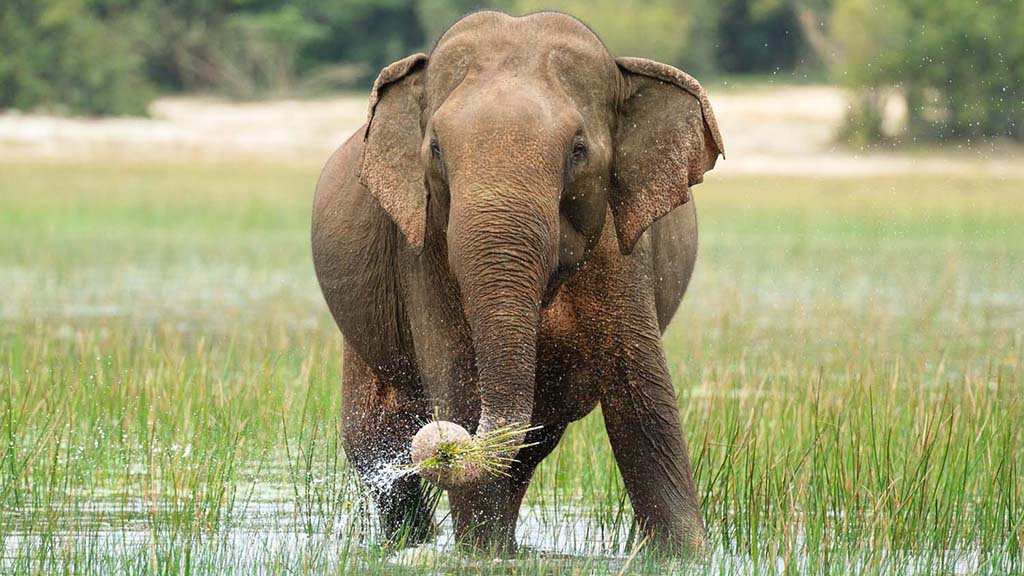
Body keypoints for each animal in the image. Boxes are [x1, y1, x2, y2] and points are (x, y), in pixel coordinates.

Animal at [309, 8, 720, 553]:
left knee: (530, 446)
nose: (442, 446)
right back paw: (415, 544)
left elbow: (642, 397)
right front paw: (478, 555)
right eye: (435, 149)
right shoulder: (421, 247)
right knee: (377, 443)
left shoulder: (621, 250)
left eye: (578, 150)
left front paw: (682, 555)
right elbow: (460, 388)